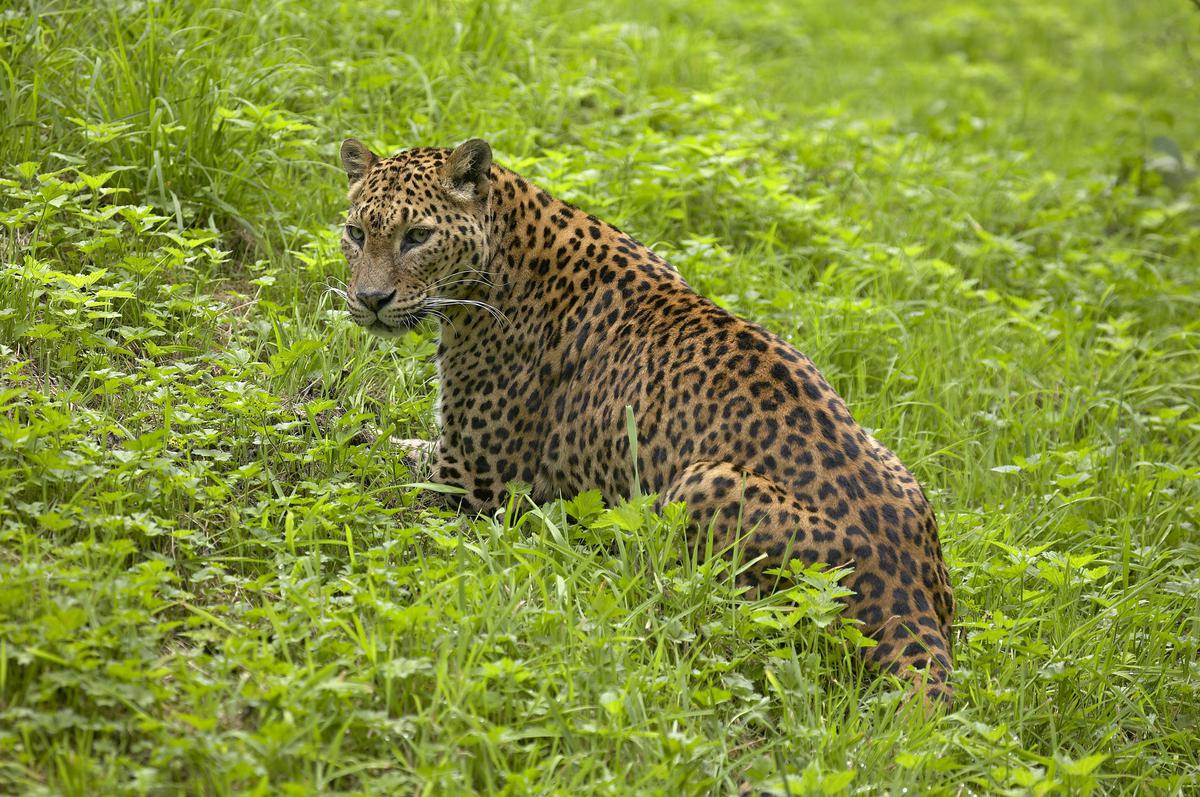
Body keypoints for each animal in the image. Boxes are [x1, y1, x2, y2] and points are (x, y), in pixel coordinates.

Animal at [333, 136, 950, 705]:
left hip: (702, 484)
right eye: (356, 234)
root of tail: (912, 591)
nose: (370, 298)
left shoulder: (471, 479)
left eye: (417, 237)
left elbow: (380, 452)